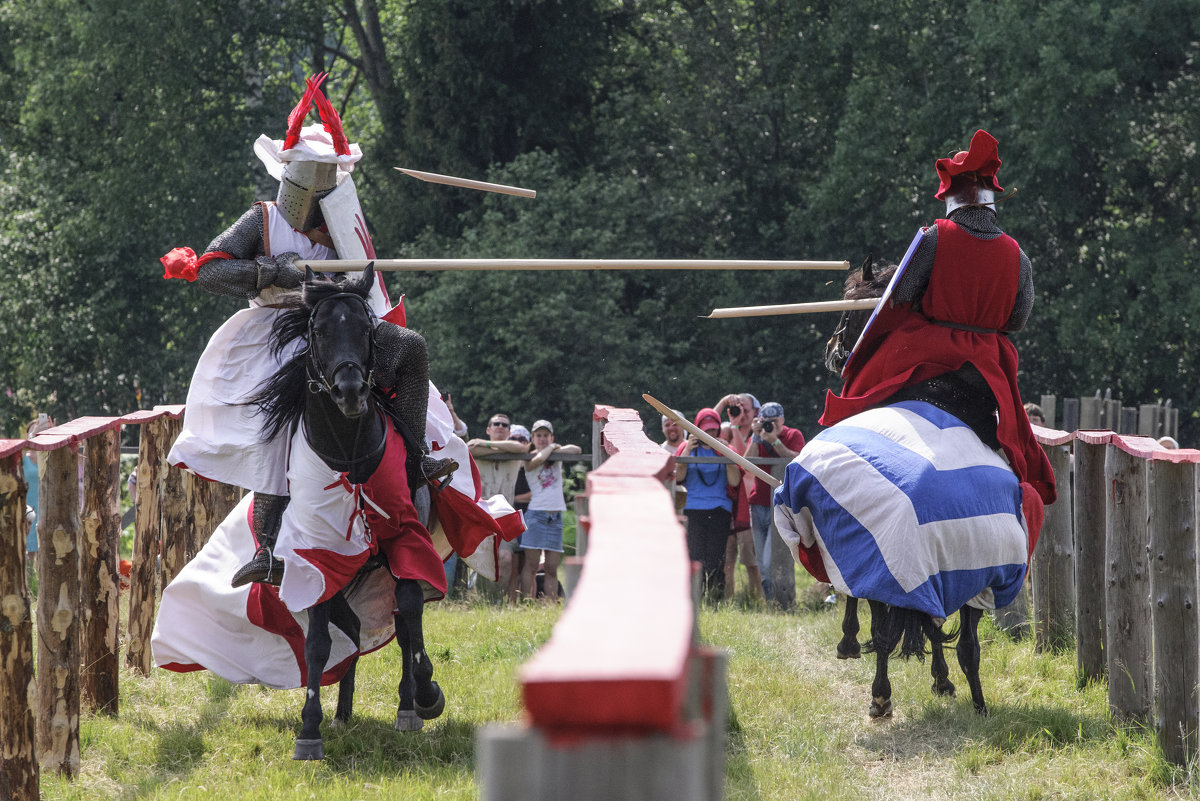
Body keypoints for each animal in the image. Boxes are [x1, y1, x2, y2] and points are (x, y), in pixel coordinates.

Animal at [248, 266, 451, 762]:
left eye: (364, 329)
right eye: (319, 331)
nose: (351, 391)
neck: (350, 457)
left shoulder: (405, 540)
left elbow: (411, 611)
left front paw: (426, 695)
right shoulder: (317, 562)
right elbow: (318, 645)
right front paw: (310, 729)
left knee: (403, 625)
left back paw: (408, 706)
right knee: (356, 630)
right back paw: (342, 712)